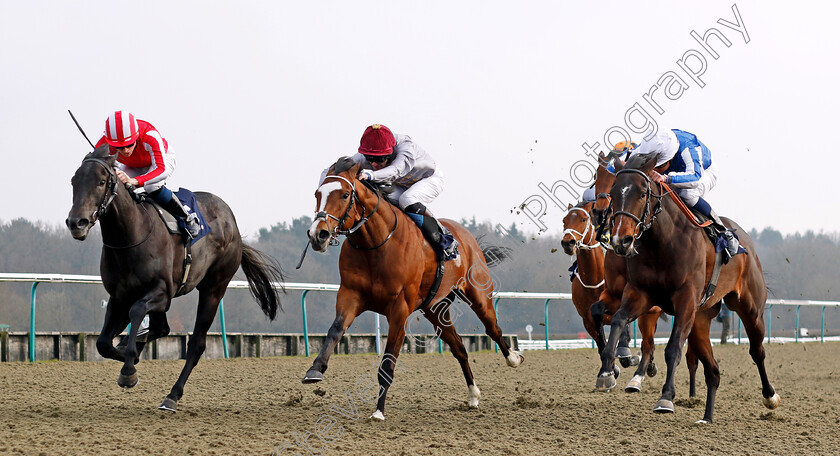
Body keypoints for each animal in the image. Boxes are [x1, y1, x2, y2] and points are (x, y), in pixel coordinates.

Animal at [63, 145, 286, 410]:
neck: (130, 237)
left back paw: (172, 395)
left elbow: (137, 312)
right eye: (74, 181)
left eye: (101, 181)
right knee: (162, 328)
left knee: (196, 344)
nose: (77, 222)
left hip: (214, 288)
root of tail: (233, 224)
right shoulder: (119, 297)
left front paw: (129, 369)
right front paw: (129, 354)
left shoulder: (161, 293)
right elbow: (104, 343)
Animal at [302, 157, 524, 420]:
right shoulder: (350, 295)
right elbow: (335, 330)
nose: (318, 234)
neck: (375, 245)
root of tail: (467, 237)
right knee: (459, 347)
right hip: (435, 309)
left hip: (479, 294)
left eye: (345, 194)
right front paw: (315, 369)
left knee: (493, 328)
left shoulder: (399, 309)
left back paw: (513, 358)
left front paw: (378, 411)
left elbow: (388, 362)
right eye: (317, 194)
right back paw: (473, 396)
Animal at [596, 153, 780, 424]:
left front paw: (666, 398)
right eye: (614, 192)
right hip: (700, 320)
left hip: (750, 309)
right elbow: (618, 320)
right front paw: (607, 371)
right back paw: (707, 417)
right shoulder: (640, 294)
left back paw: (770, 396)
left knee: (757, 351)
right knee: (713, 370)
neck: (662, 241)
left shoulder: (685, 299)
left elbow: (673, 349)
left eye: (642, 193)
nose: (621, 240)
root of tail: (746, 243)